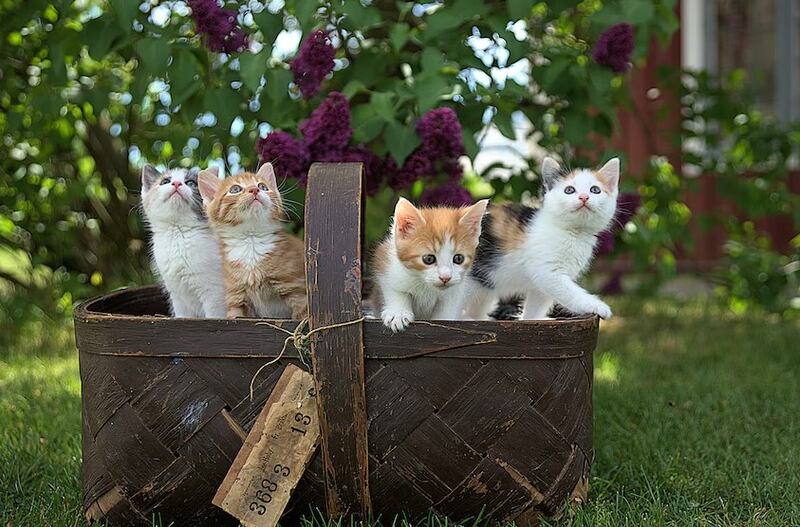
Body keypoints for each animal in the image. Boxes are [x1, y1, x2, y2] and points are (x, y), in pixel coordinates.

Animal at [141, 165, 227, 318]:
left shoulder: (214, 292)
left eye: (191, 183)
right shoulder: (177, 295)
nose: (176, 183)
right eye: (165, 181)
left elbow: (214, 316)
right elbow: (183, 316)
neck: (178, 233)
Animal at [198, 165, 308, 320]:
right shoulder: (236, 298)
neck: (251, 243)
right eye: (235, 189)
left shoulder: (297, 290)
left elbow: (303, 317)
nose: (254, 189)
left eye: (262, 186)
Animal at [370, 196, 488, 332]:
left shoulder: (455, 291)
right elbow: (396, 290)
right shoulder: (386, 264)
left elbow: (447, 309)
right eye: (428, 259)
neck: (425, 286)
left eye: (459, 258)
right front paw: (398, 313)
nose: (445, 278)